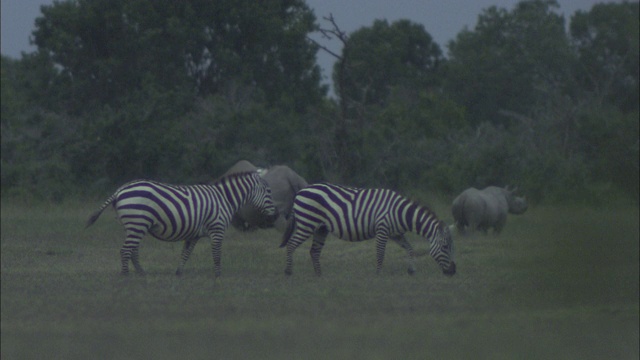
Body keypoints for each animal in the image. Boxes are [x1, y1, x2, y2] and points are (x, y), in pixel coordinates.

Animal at [85, 173, 276, 278]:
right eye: (268, 191)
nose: (275, 215)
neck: (224, 199)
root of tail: (120, 189)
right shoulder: (217, 228)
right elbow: (216, 254)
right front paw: (218, 276)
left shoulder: (194, 234)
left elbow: (186, 253)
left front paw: (178, 273)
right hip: (137, 223)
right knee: (125, 251)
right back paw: (126, 277)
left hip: (135, 225)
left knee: (132, 251)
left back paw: (141, 274)